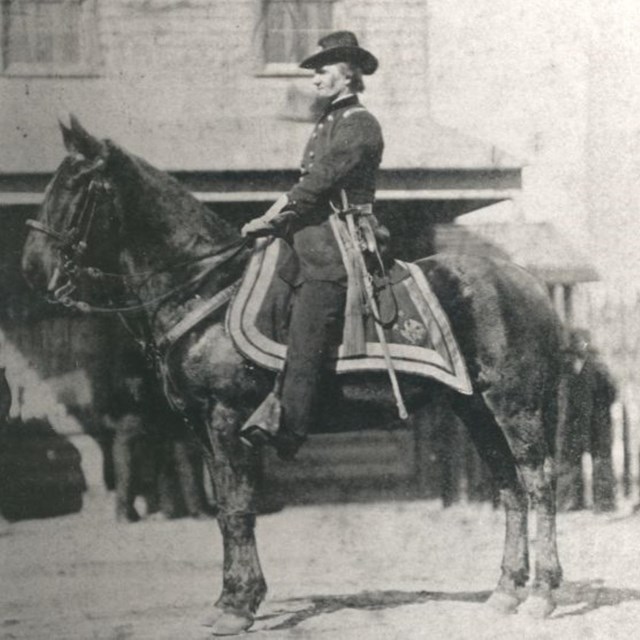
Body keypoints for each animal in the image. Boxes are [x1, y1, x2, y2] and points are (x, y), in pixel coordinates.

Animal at [20, 119, 564, 636]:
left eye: (76, 185)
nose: (30, 269)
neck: (204, 290)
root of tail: (529, 282)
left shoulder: (225, 418)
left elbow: (237, 508)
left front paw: (237, 606)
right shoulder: (200, 428)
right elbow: (224, 512)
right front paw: (232, 598)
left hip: (515, 407)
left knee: (538, 481)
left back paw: (542, 594)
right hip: (474, 409)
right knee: (509, 485)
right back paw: (505, 592)